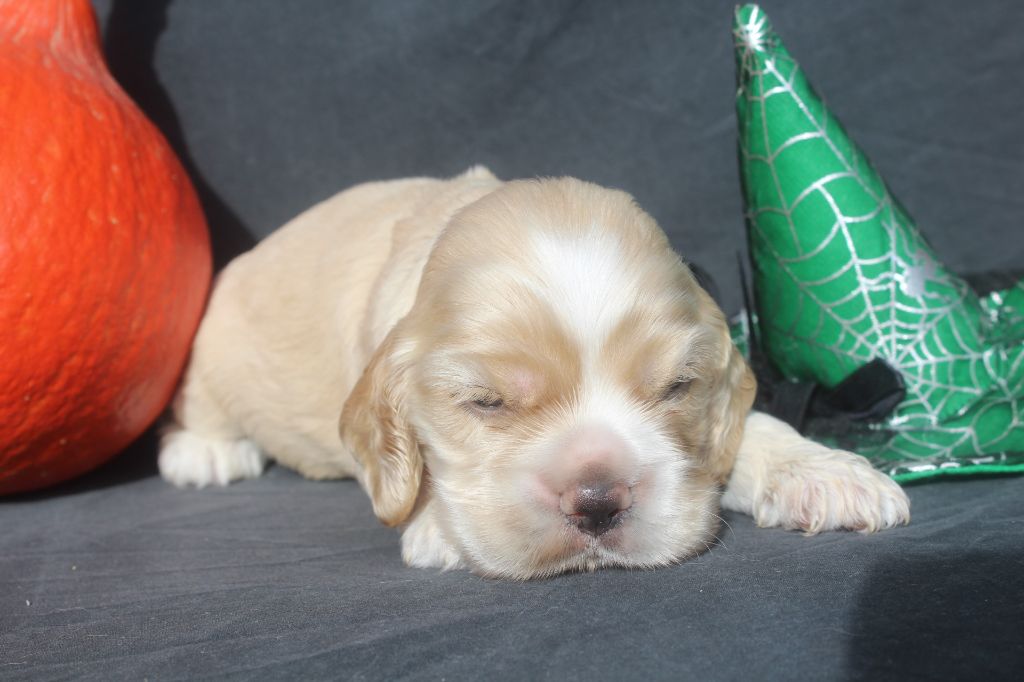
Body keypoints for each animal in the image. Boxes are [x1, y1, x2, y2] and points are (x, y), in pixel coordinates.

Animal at [155, 166, 909, 577]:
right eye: (485, 403)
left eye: (676, 388)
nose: (599, 499)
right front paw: (437, 529)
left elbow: (752, 425)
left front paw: (822, 473)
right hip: (210, 340)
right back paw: (207, 453)